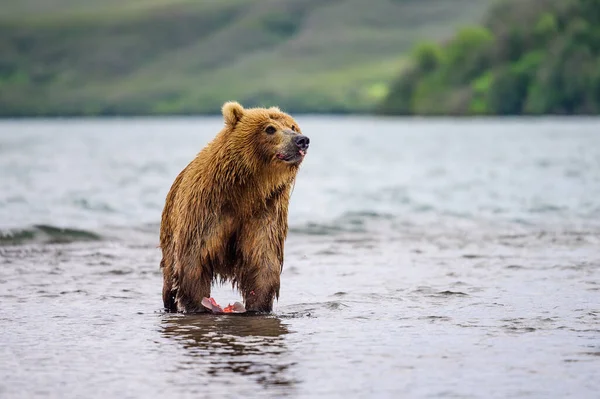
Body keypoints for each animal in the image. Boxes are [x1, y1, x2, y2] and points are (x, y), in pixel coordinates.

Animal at [159, 101, 310, 314]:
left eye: (293, 127)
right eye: (270, 128)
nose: (301, 140)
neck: (246, 191)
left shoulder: (265, 213)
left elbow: (262, 262)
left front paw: (258, 306)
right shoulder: (206, 211)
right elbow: (194, 261)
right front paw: (198, 305)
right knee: (169, 277)